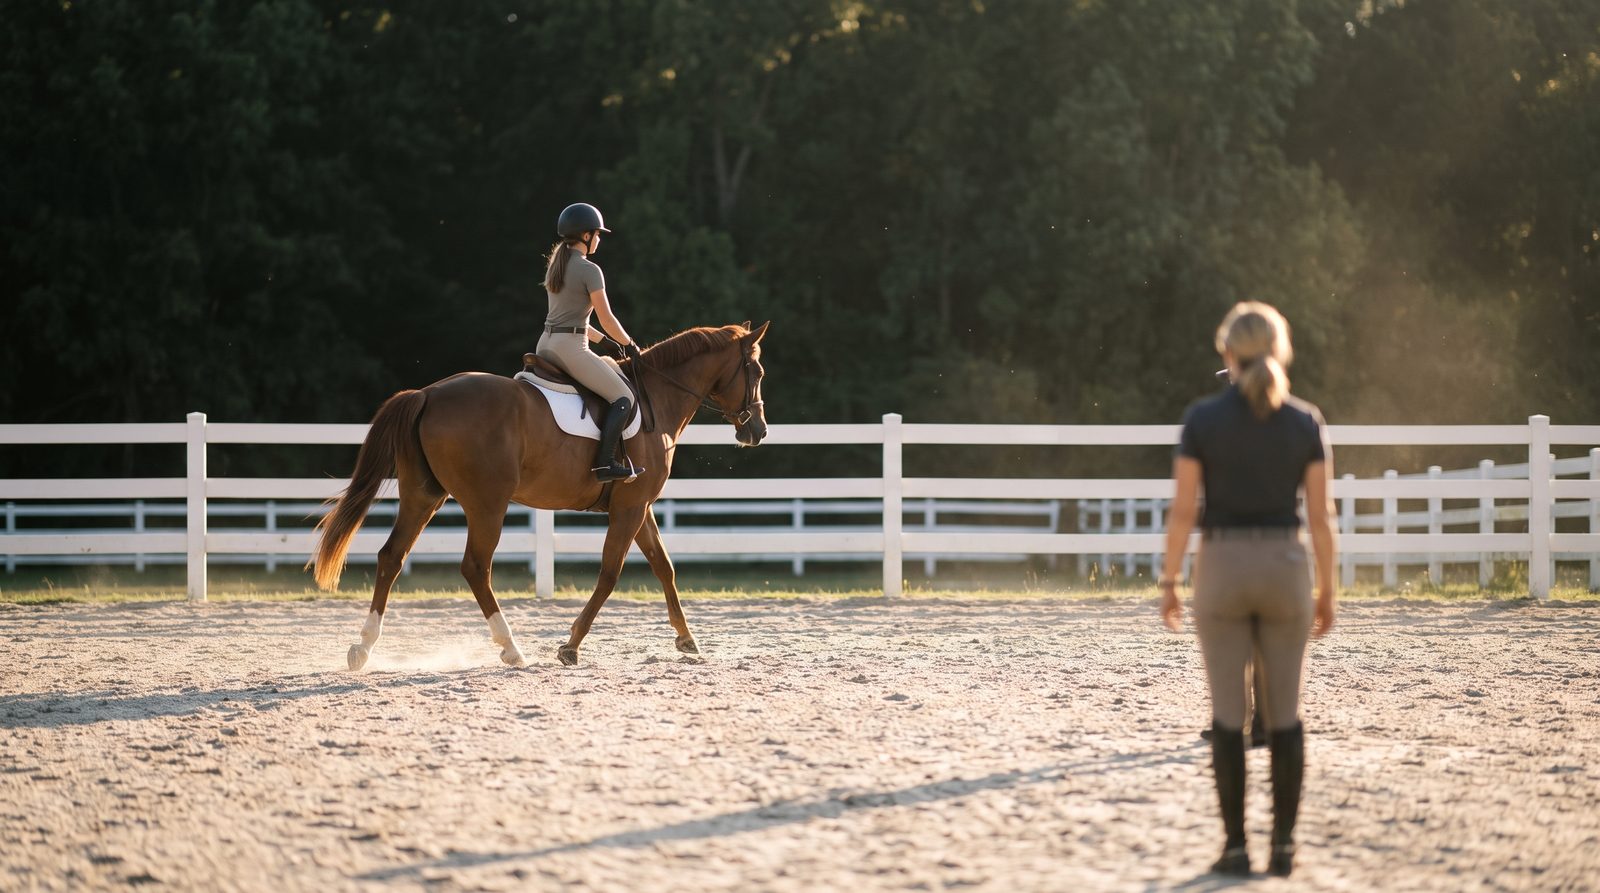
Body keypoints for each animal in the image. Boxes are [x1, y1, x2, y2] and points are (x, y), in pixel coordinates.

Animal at [310, 321, 770, 668]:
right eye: (758, 373)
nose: (758, 430)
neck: (658, 397)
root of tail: (428, 393)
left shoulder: (638, 507)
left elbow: (664, 567)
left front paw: (687, 640)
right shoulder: (630, 508)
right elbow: (610, 574)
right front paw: (571, 646)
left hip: (422, 496)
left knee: (391, 556)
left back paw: (363, 647)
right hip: (487, 504)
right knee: (475, 567)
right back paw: (511, 648)